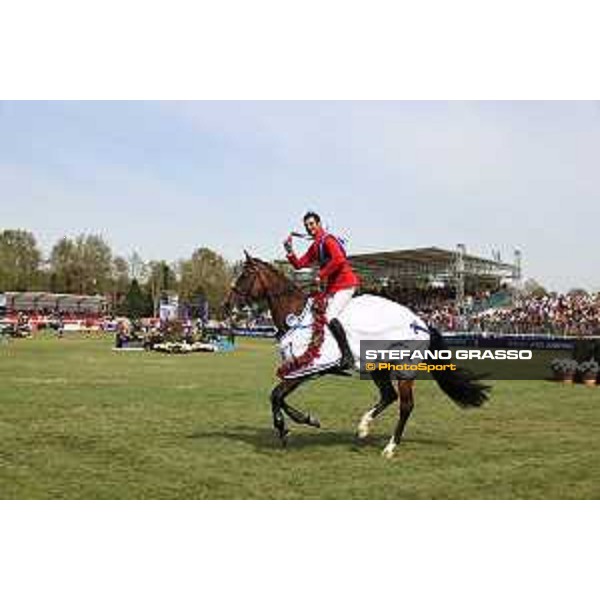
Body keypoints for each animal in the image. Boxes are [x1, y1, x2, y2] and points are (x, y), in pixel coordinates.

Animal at [223, 251, 490, 458]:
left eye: (244, 275)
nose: (226, 305)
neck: (296, 316)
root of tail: (421, 322)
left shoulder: (305, 370)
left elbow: (276, 396)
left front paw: (285, 429)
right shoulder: (299, 372)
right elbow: (278, 398)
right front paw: (306, 420)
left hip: (404, 368)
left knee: (405, 405)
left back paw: (390, 447)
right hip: (379, 367)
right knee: (389, 396)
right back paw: (363, 427)